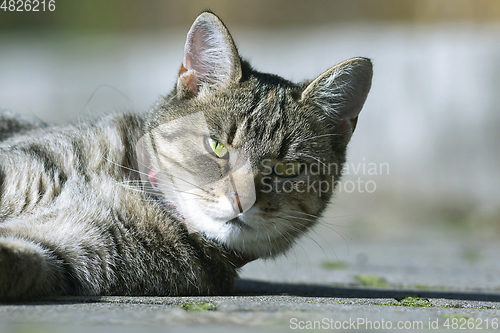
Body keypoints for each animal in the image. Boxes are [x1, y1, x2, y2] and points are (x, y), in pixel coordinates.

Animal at [0, 11, 372, 300]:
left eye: (287, 168)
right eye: (217, 145)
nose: (242, 199)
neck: (140, 190)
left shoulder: (69, 252)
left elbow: (25, 262)